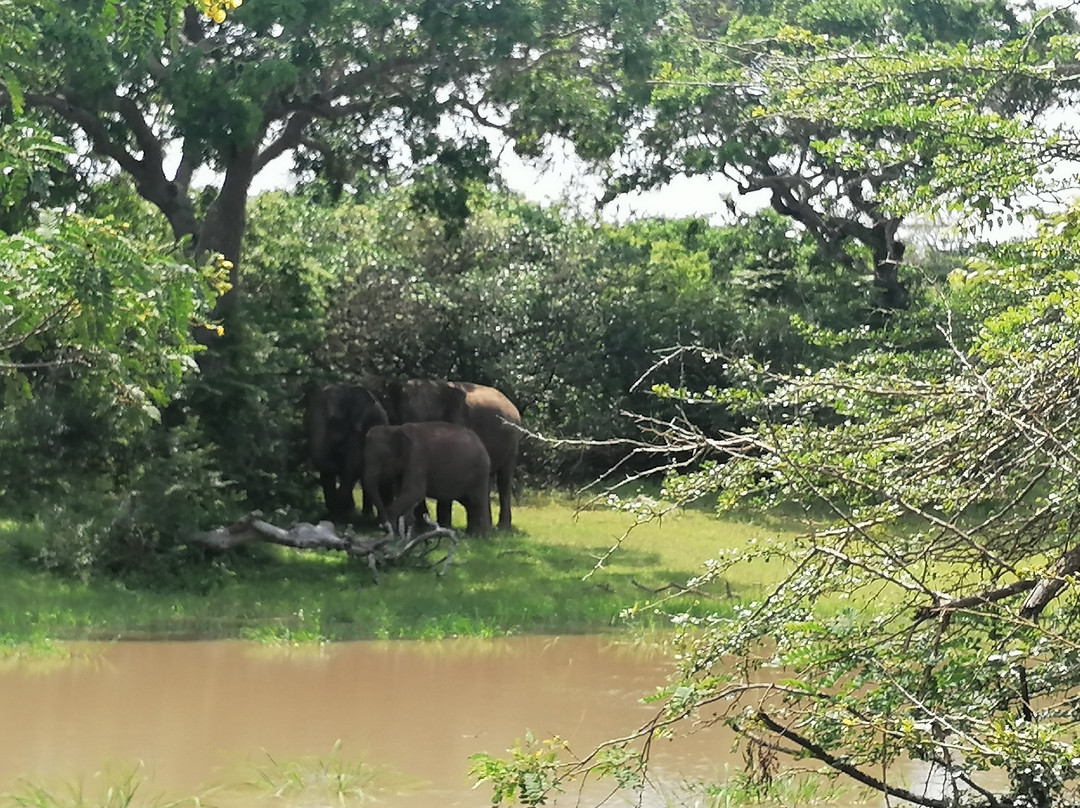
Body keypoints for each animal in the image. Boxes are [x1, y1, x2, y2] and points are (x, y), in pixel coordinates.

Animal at [302, 384, 390, 520]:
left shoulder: (361, 428)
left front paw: (343, 508)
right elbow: (327, 469)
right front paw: (334, 512)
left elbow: (353, 463)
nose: (339, 453)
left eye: (334, 421)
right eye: (306, 420)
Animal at [365, 423, 494, 535]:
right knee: (469, 503)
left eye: (382, 459)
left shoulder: (417, 457)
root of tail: (481, 444)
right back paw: (470, 534)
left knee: (477, 501)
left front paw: (395, 531)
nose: (382, 526)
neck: (395, 429)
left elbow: (414, 492)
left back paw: (480, 536)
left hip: (479, 472)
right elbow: (403, 492)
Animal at [384, 380, 522, 529]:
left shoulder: (458, 421)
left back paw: (502, 527)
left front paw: (443, 526)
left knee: (504, 480)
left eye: (429, 419)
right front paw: (425, 527)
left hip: (513, 443)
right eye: (398, 418)